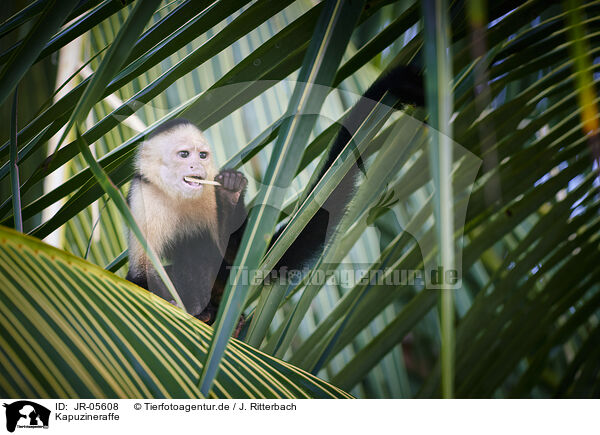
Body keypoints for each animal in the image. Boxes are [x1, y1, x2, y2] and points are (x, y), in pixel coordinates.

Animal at [125, 63, 424, 328]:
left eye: (203, 155)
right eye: (184, 154)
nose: (196, 167)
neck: (179, 196)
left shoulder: (209, 193)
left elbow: (234, 255)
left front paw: (232, 192)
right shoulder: (141, 198)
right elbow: (141, 272)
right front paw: (162, 297)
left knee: (200, 249)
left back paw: (212, 313)